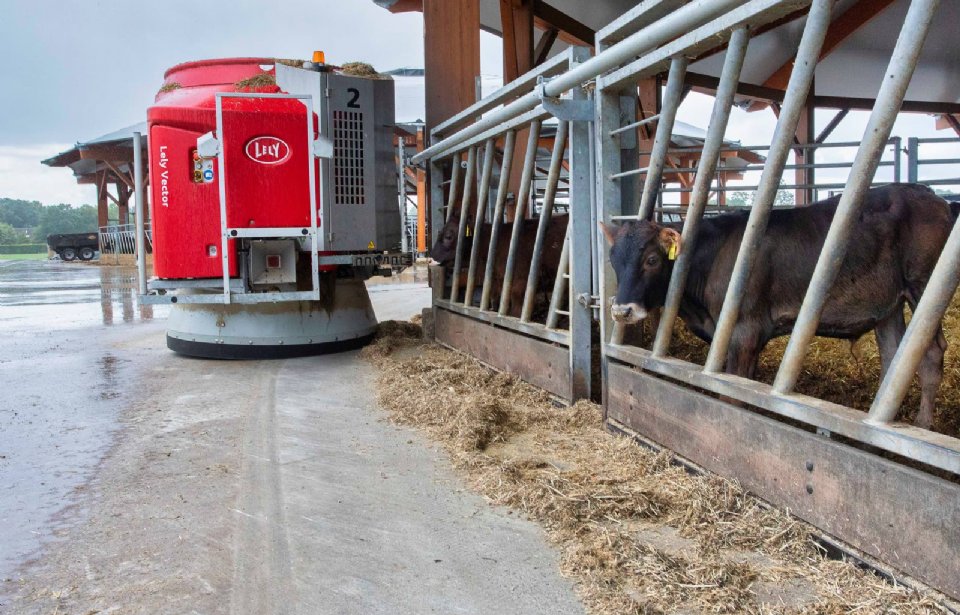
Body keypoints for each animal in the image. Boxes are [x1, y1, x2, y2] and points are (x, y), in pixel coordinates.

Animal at [604, 183, 956, 428]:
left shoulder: (745, 329)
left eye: (652, 259)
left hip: (923, 286)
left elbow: (732, 391)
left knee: (931, 352)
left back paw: (922, 424)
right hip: (888, 304)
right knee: (893, 355)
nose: (622, 310)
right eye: (613, 259)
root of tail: (934, 197)